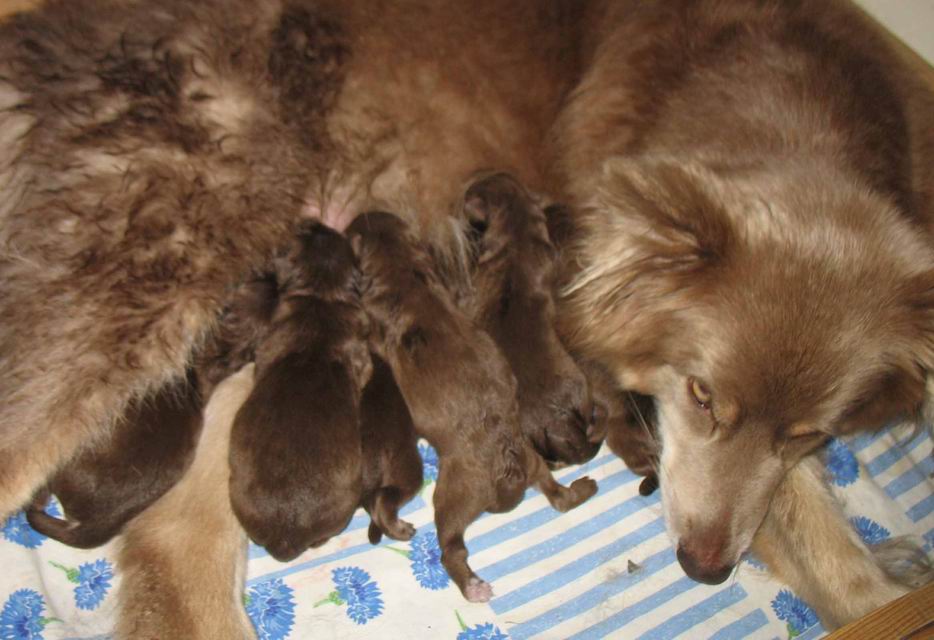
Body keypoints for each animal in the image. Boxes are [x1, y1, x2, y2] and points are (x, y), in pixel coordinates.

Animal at [348, 211, 598, 602]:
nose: (356, 216)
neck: (402, 267)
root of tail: (508, 468)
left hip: (453, 495)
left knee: (451, 548)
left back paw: (469, 583)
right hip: (534, 461)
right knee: (557, 495)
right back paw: (583, 488)